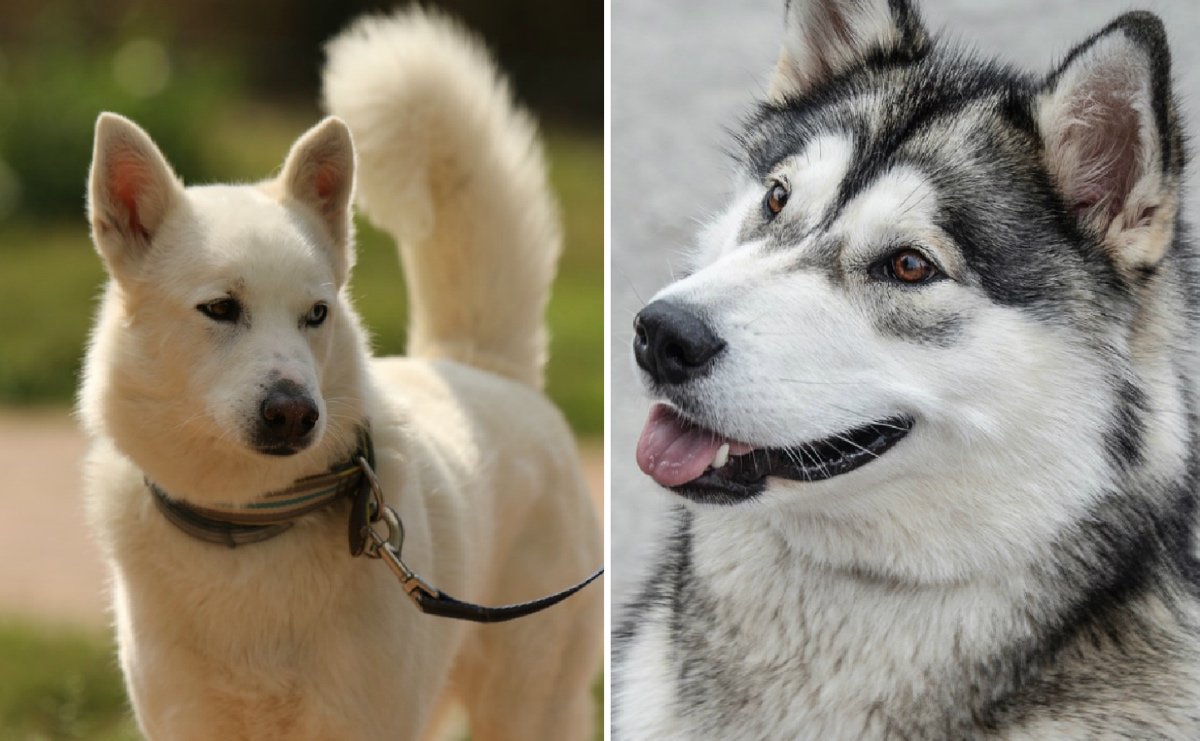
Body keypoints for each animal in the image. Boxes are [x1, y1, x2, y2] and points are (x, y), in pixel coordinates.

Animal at [78, 11, 600, 738]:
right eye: (220, 308)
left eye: (316, 314)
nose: (295, 411)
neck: (251, 522)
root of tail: (483, 366)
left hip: (527, 704)